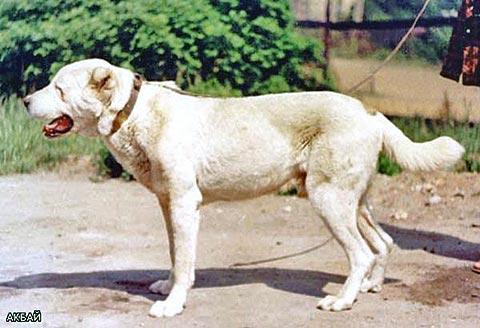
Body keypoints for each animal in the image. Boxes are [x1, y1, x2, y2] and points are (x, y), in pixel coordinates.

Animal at [23, 59, 464, 318]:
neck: (133, 114)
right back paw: (370, 287)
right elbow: (175, 255)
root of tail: (370, 111)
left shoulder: (184, 204)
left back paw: (343, 300)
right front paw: (169, 287)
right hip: (352, 201)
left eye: (58, 89)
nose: (26, 100)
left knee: (360, 253)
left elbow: (185, 259)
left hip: (329, 201)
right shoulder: (169, 205)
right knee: (383, 242)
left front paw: (173, 304)